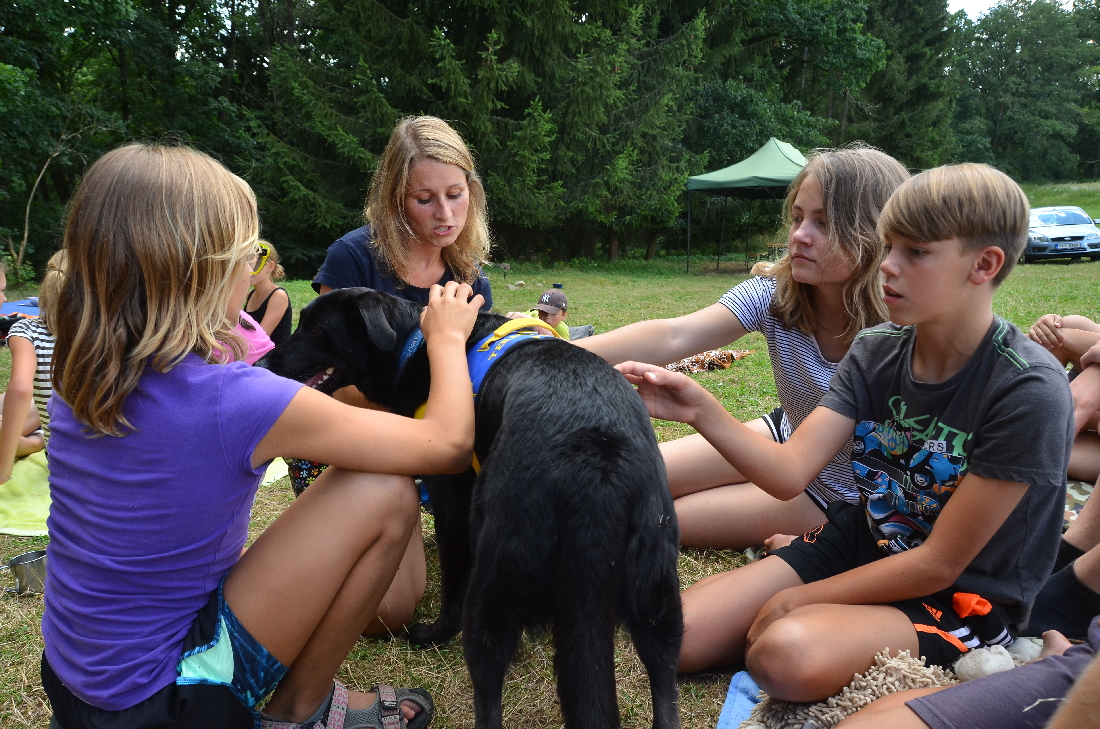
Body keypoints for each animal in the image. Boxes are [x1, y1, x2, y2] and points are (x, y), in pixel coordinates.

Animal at [257, 288, 683, 729]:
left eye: (315, 329)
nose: (260, 364)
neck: (416, 344)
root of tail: (593, 466)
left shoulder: (453, 511)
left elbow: (452, 590)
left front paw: (432, 635)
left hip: (493, 584)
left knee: (487, 691)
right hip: (659, 601)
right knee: (665, 693)